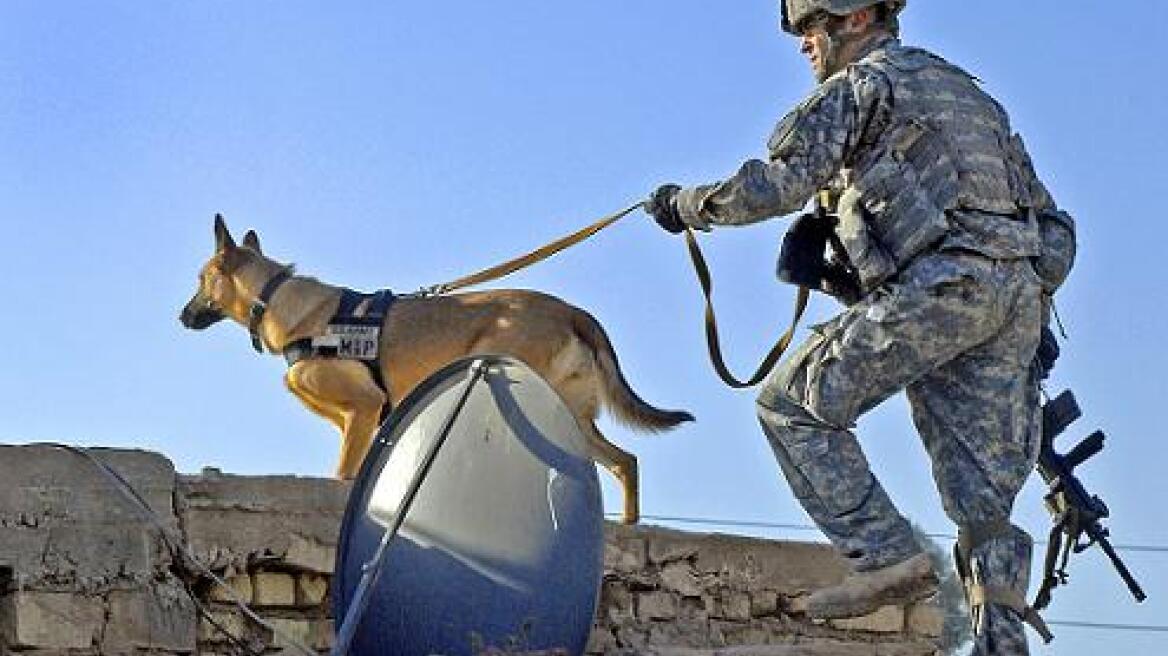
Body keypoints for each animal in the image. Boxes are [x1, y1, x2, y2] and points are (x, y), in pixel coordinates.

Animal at [179, 214, 691, 520]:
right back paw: (628, 525)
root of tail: (573, 311)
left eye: (201, 279)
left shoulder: (364, 406)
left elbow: (343, 474)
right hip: (571, 414)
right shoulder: (359, 418)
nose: (181, 317)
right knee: (625, 462)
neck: (277, 299)